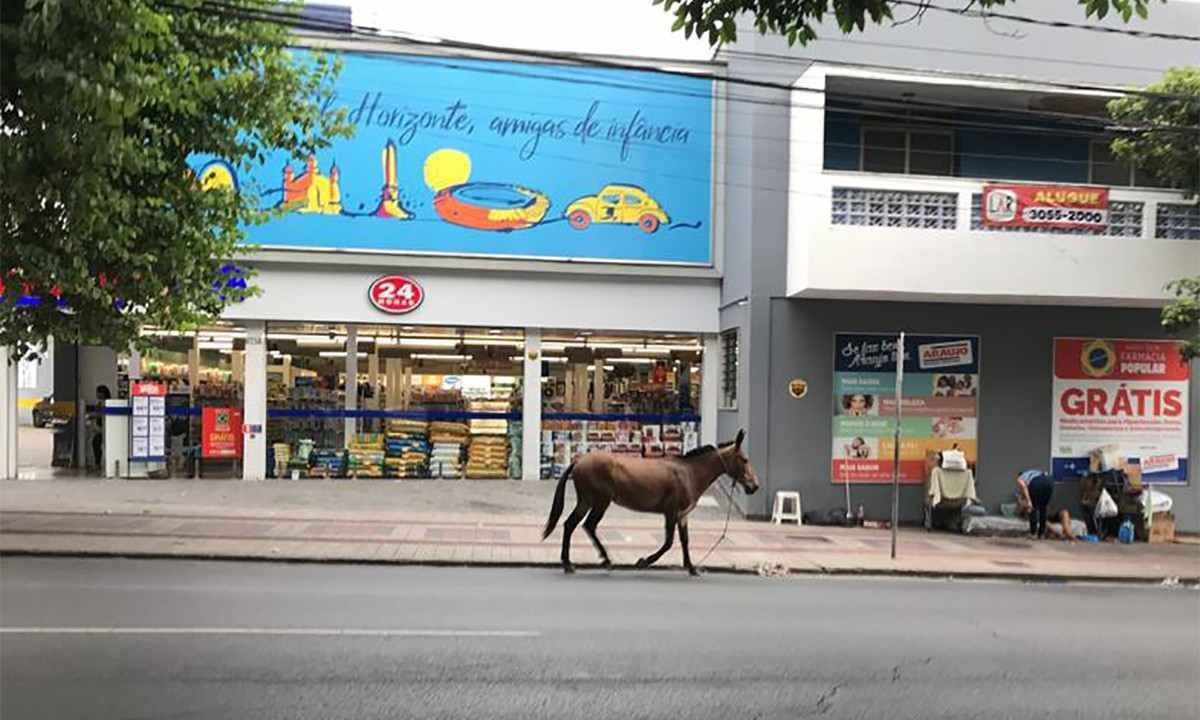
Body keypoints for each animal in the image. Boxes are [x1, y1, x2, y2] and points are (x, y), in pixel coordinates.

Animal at [544, 429, 758, 576]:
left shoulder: (682, 515)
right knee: (586, 525)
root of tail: (579, 460)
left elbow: (685, 541)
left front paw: (691, 567)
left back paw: (572, 562)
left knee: (572, 524)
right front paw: (644, 561)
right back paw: (599, 560)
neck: (689, 472)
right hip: (599, 501)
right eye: (744, 459)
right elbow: (668, 543)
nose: (754, 486)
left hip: (587, 501)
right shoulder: (671, 512)